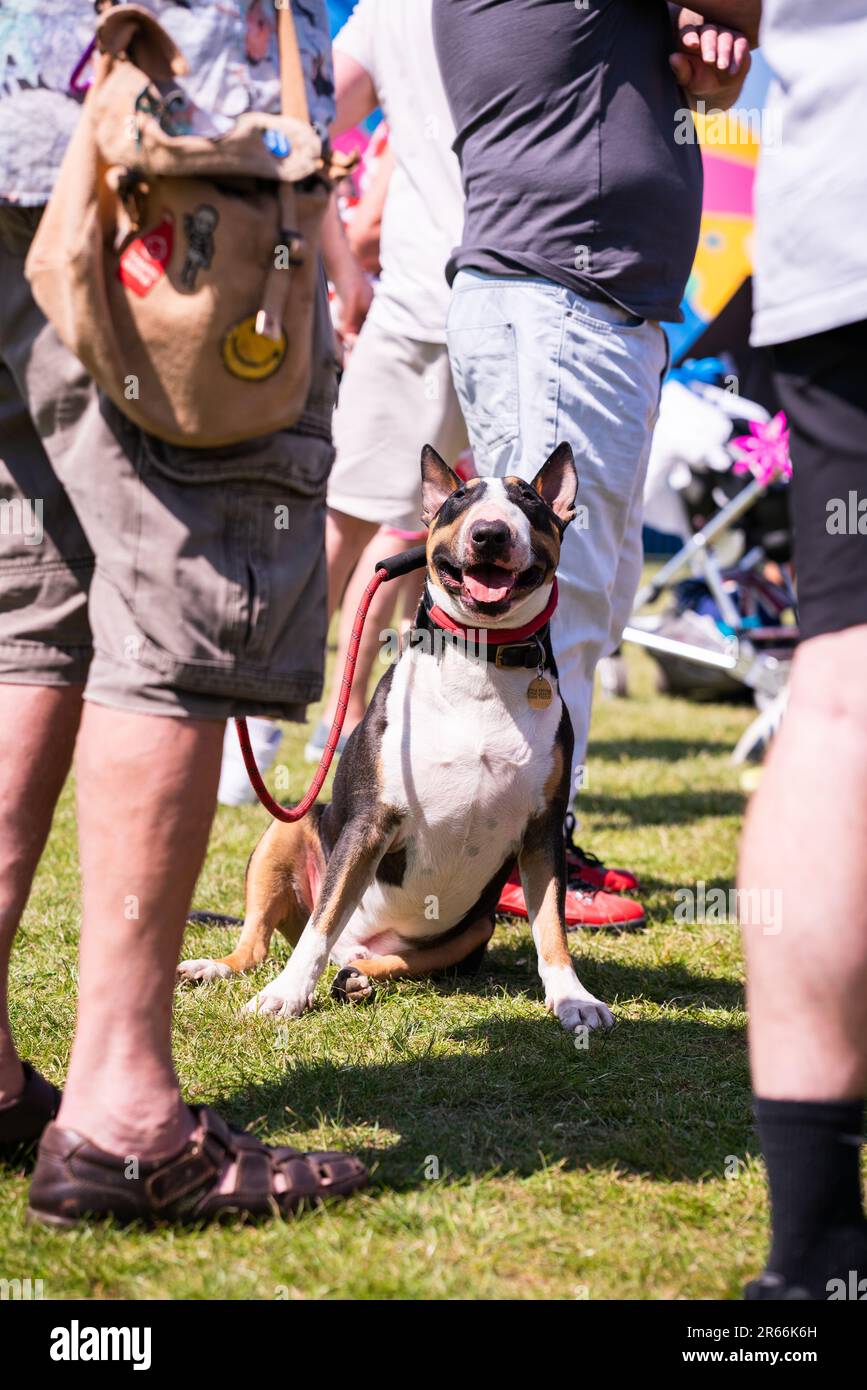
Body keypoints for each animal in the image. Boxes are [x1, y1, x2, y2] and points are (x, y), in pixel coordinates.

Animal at [176, 439, 614, 1039]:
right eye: (458, 499)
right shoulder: (370, 821)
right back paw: (219, 967)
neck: (481, 664)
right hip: (284, 835)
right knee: (266, 942)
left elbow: (551, 922)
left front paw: (573, 997)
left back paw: (359, 978)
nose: (490, 533)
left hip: (474, 930)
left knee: (388, 961)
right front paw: (287, 995)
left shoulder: (542, 829)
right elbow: (323, 920)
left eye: (528, 499)